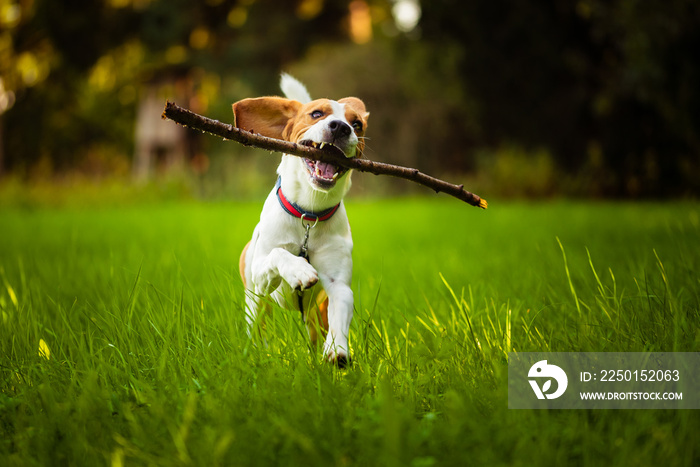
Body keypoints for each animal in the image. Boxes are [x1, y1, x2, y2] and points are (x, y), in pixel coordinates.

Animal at [235, 73, 370, 368]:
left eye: (357, 124)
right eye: (316, 113)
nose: (341, 128)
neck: (309, 213)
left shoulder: (337, 283)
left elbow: (341, 307)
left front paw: (337, 349)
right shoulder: (262, 272)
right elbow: (278, 254)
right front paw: (299, 270)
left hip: (313, 313)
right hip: (255, 300)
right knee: (257, 326)